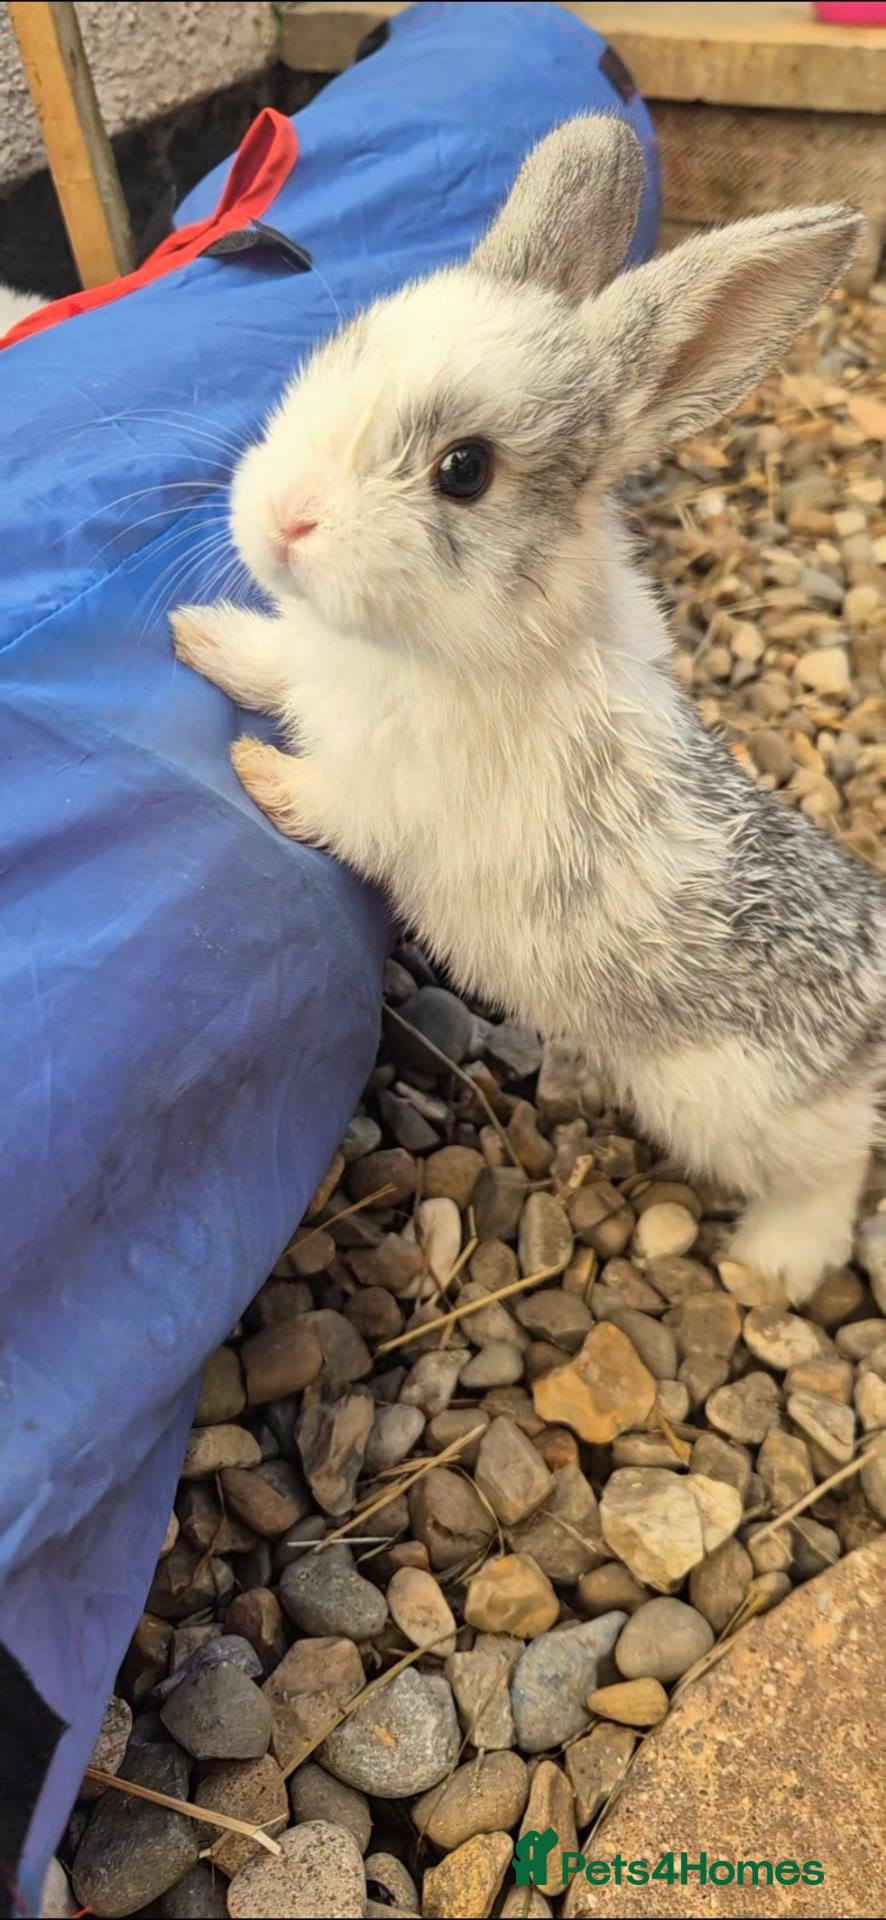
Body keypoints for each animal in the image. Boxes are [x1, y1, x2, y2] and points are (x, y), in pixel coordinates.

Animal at [172, 115, 886, 1306]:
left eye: (464, 471)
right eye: (344, 349)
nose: (281, 519)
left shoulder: (390, 802)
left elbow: (328, 802)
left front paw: (254, 772)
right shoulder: (313, 666)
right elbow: (274, 662)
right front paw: (199, 636)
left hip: (750, 1117)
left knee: (831, 1180)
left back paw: (773, 1263)